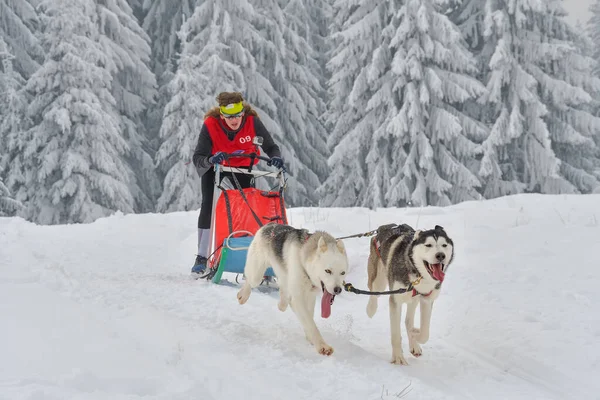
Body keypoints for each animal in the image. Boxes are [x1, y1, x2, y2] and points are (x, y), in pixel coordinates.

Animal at [234, 222, 346, 356]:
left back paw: (282, 301)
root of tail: (270, 224)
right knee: (250, 279)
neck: (303, 258)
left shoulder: (310, 296)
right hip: (257, 275)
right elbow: (310, 323)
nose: (338, 289)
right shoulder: (298, 298)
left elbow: (309, 318)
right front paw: (321, 345)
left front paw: (310, 338)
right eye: (328, 271)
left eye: (343, 272)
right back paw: (243, 295)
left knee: (283, 291)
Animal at [366, 223, 454, 364]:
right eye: (428, 245)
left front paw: (414, 334)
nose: (440, 255)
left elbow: (425, 333)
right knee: (374, 292)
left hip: (413, 299)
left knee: (408, 320)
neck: (417, 273)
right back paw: (371, 309)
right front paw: (398, 358)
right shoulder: (396, 300)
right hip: (379, 281)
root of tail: (383, 228)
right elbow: (396, 334)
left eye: (444, 245)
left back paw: (414, 343)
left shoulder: (427, 300)